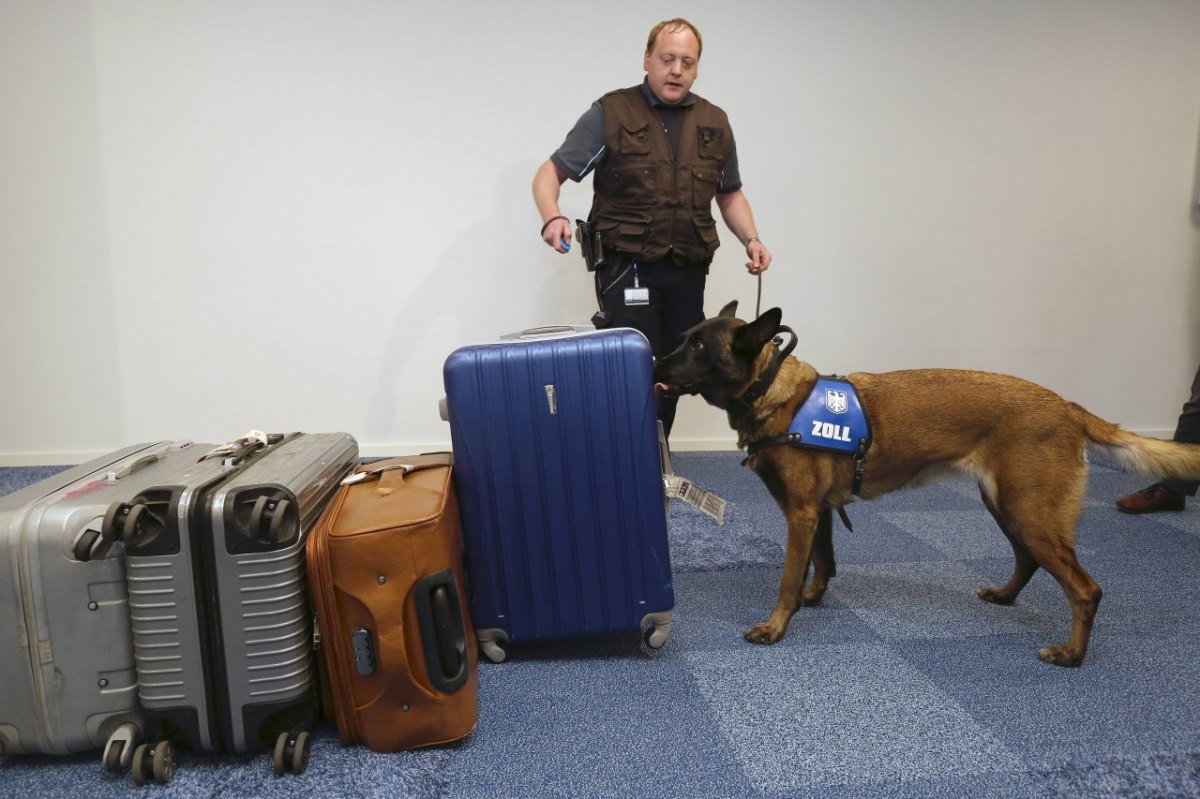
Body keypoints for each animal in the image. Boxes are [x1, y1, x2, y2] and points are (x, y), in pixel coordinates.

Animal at [652, 302, 1200, 662]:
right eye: (685, 337)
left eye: (697, 344)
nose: (655, 360)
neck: (774, 393)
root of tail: (1067, 406)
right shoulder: (821, 512)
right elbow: (823, 563)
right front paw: (814, 600)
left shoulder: (802, 514)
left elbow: (789, 577)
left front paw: (777, 626)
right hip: (1006, 507)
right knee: (1027, 561)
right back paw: (1005, 597)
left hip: (1030, 513)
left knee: (1085, 589)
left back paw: (1072, 654)